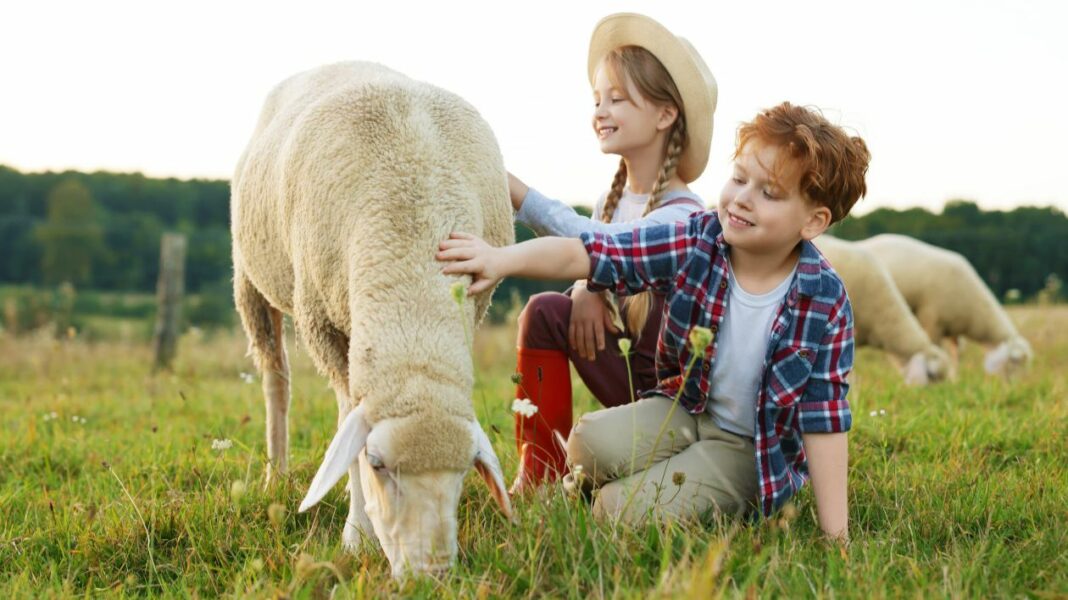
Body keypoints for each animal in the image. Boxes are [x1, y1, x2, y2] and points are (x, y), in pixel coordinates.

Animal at [231, 61, 514, 576]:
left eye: (466, 469)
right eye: (378, 463)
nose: (431, 574)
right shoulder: (322, 323)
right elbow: (347, 415)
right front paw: (356, 534)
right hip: (250, 279)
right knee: (275, 379)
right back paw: (275, 474)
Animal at [854, 232, 1029, 373]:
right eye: (1015, 363)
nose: (1013, 387)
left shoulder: (954, 329)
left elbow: (956, 355)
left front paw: (955, 378)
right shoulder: (932, 319)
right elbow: (938, 350)